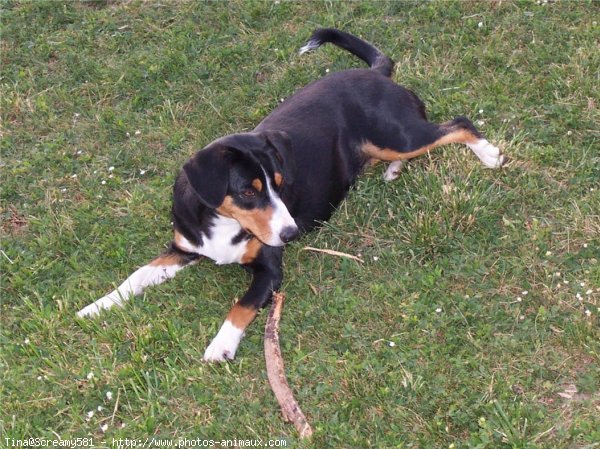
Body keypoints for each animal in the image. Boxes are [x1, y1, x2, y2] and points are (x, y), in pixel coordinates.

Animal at [77, 28, 504, 360]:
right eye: (247, 192)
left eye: (279, 185)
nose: (291, 234)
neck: (222, 223)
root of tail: (377, 72)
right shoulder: (184, 248)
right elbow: (135, 276)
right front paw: (96, 306)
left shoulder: (269, 270)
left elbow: (240, 306)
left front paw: (221, 345)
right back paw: (395, 170)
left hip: (398, 135)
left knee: (458, 124)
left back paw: (488, 153)